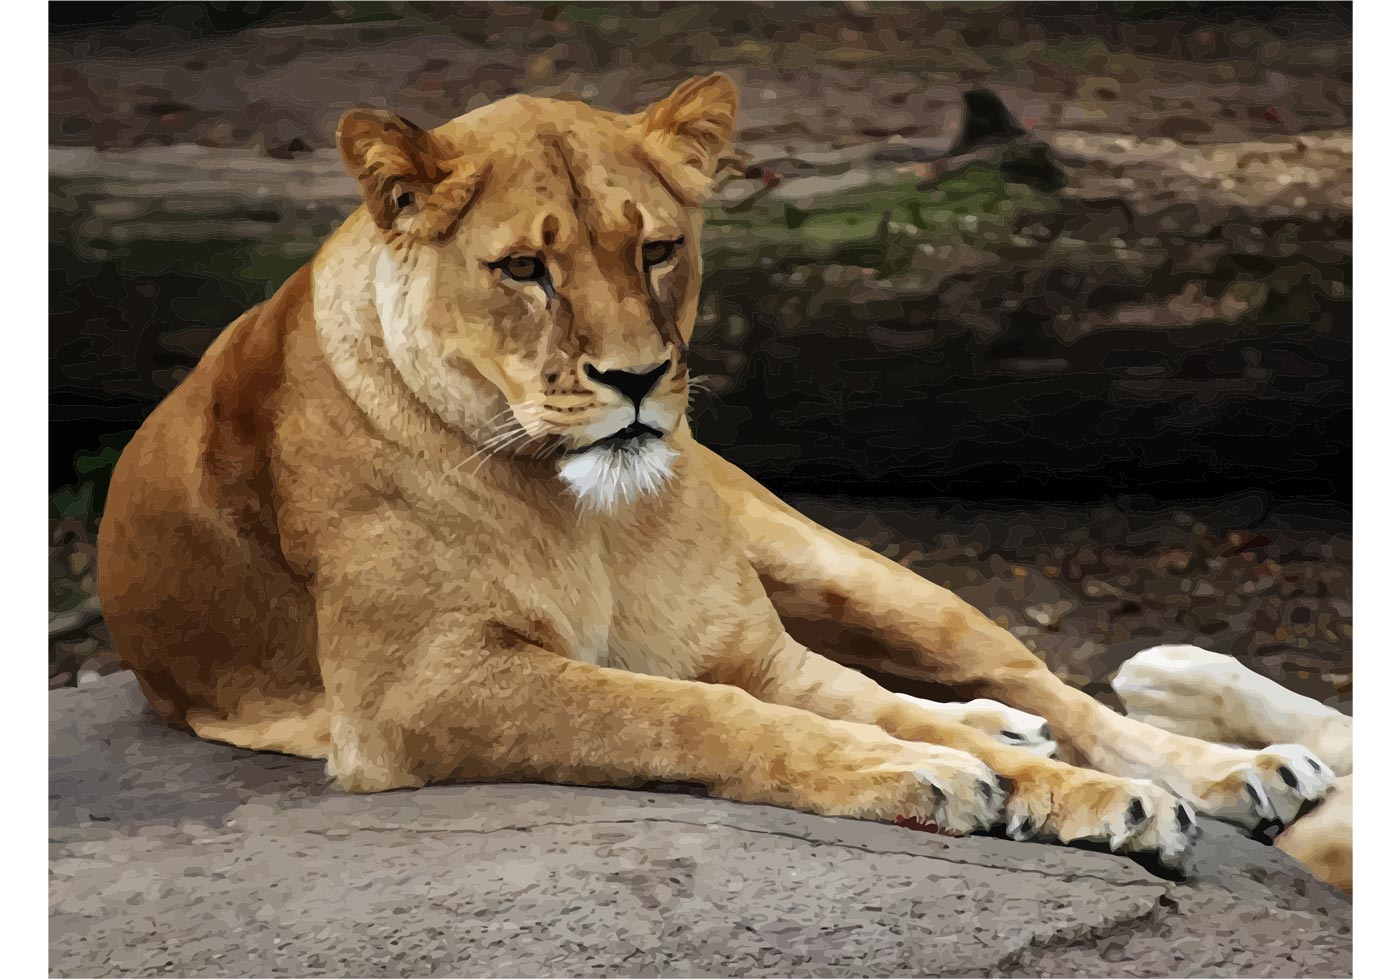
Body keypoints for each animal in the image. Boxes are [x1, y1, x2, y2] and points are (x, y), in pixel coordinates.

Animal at [97, 74, 1334, 870]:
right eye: (524, 269)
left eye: (656, 247)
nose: (638, 378)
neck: (584, 514)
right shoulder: (417, 690)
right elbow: (696, 713)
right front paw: (935, 776)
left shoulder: (747, 645)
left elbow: (844, 705)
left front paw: (1094, 794)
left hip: (839, 562)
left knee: (1042, 681)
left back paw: (1236, 768)